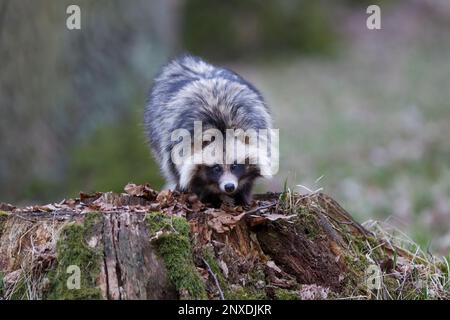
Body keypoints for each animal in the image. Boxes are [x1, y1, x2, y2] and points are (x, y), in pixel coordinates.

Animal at [145, 55, 270, 208]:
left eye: (235, 166)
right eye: (216, 168)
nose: (229, 187)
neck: (221, 128)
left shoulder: (258, 126)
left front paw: (242, 196)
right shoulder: (176, 140)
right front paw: (209, 197)